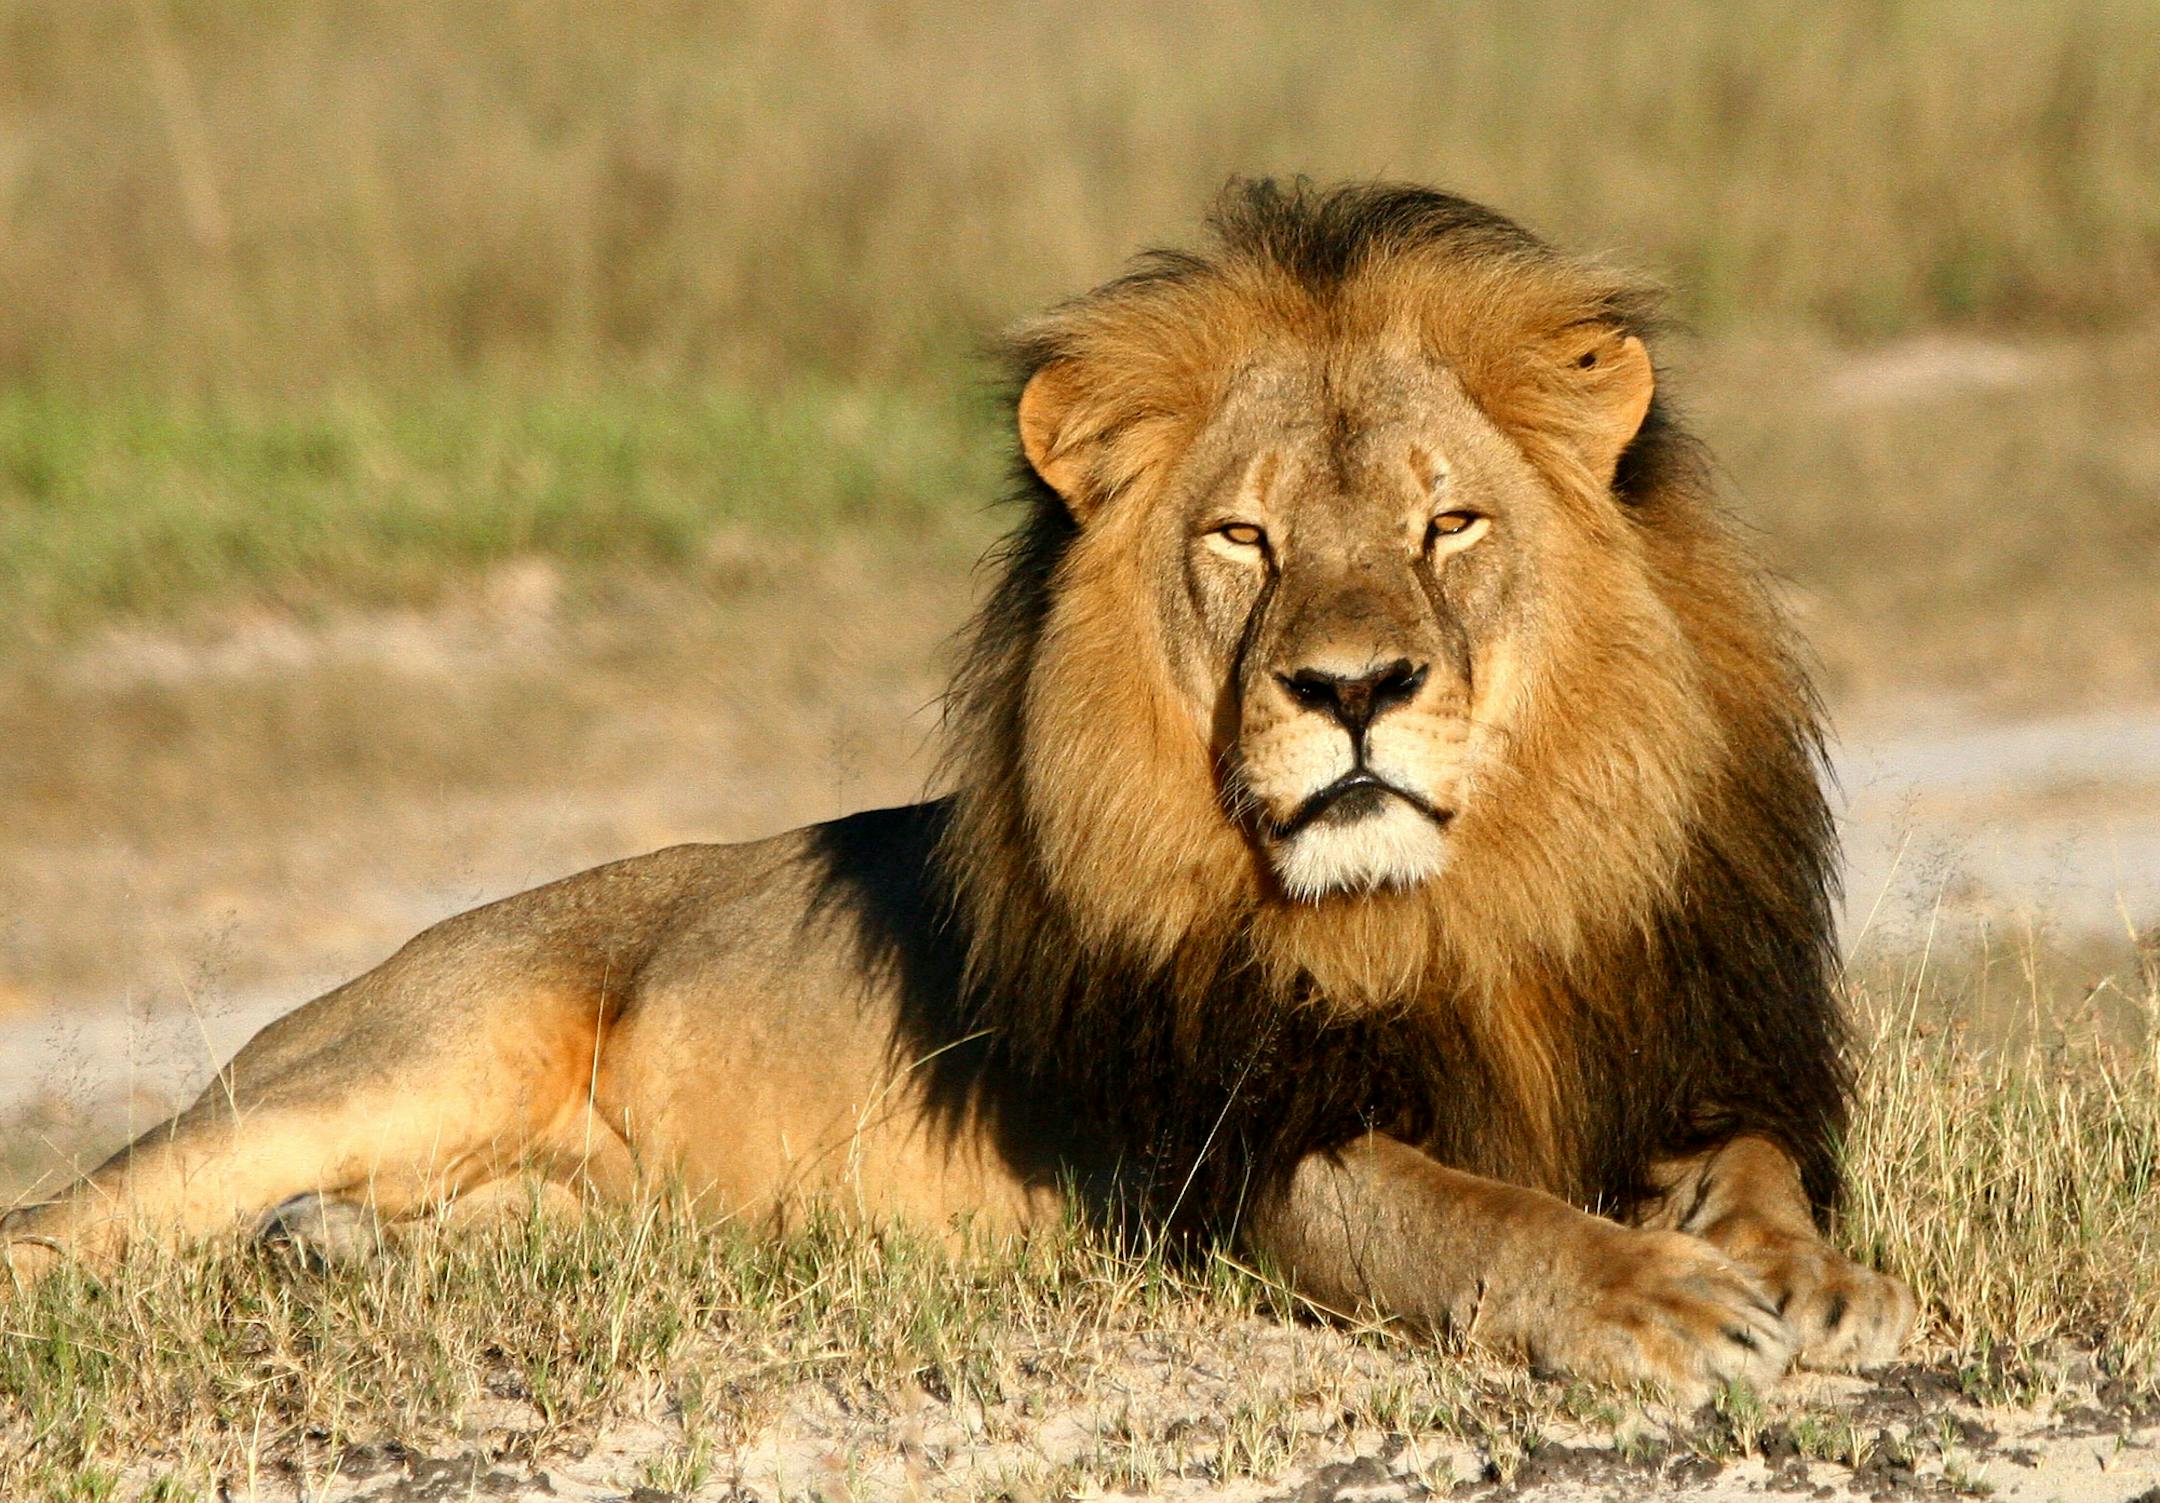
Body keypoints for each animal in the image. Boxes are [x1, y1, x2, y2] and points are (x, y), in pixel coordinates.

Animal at [4, 181, 1914, 1399]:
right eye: (1245, 537)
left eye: (1451, 522)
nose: (1353, 689)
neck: (1456, 904)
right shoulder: (1224, 1153)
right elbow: (1463, 1212)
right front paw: (1656, 1303)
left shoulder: (1684, 1043)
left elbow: (1759, 1165)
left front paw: (1811, 1280)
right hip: (396, 1056)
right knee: (71, 1220)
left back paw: (345, 1256)